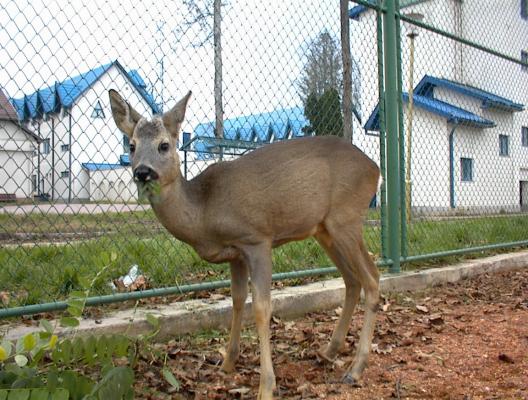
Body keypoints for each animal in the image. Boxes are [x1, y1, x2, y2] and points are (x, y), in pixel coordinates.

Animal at [111, 89, 382, 398]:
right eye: (131, 145)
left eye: (164, 145)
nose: (143, 172)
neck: (203, 211)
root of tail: (375, 169)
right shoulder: (235, 254)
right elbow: (237, 300)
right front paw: (227, 363)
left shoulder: (257, 239)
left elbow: (262, 308)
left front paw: (266, 386)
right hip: (324, 229)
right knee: (352, 279)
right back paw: (329, 351)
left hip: (345, 219)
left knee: (372, 278)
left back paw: (355, 369)